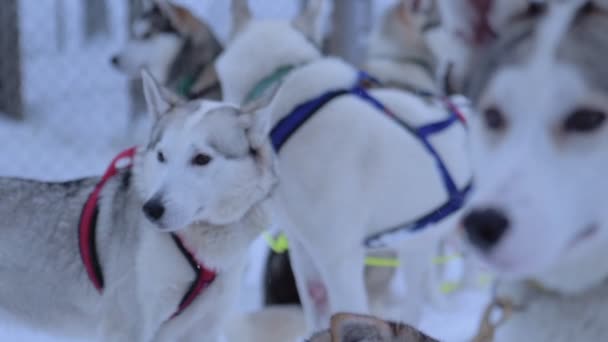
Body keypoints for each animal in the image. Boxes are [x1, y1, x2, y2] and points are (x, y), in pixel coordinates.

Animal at [0, 70, 276, 342]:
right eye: (162, 156)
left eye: (201, 159)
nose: (151, 209)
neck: (198, 246)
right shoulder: (127, 327)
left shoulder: (203, 328)